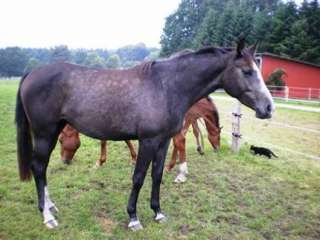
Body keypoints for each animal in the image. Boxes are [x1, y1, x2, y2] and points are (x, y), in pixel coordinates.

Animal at [15, 39, 276, 231]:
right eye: (247, 71)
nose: (268, 107)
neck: (165, 87)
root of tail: (31, 73)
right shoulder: (148, 141)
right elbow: (139, 177)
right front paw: (133, 218)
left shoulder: (164, 141)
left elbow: (157, 175)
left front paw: (158, 212)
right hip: (45, 132)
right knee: (38, 167)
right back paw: (47, 216)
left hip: (53, 131)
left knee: (42, 168)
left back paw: (50, 207)